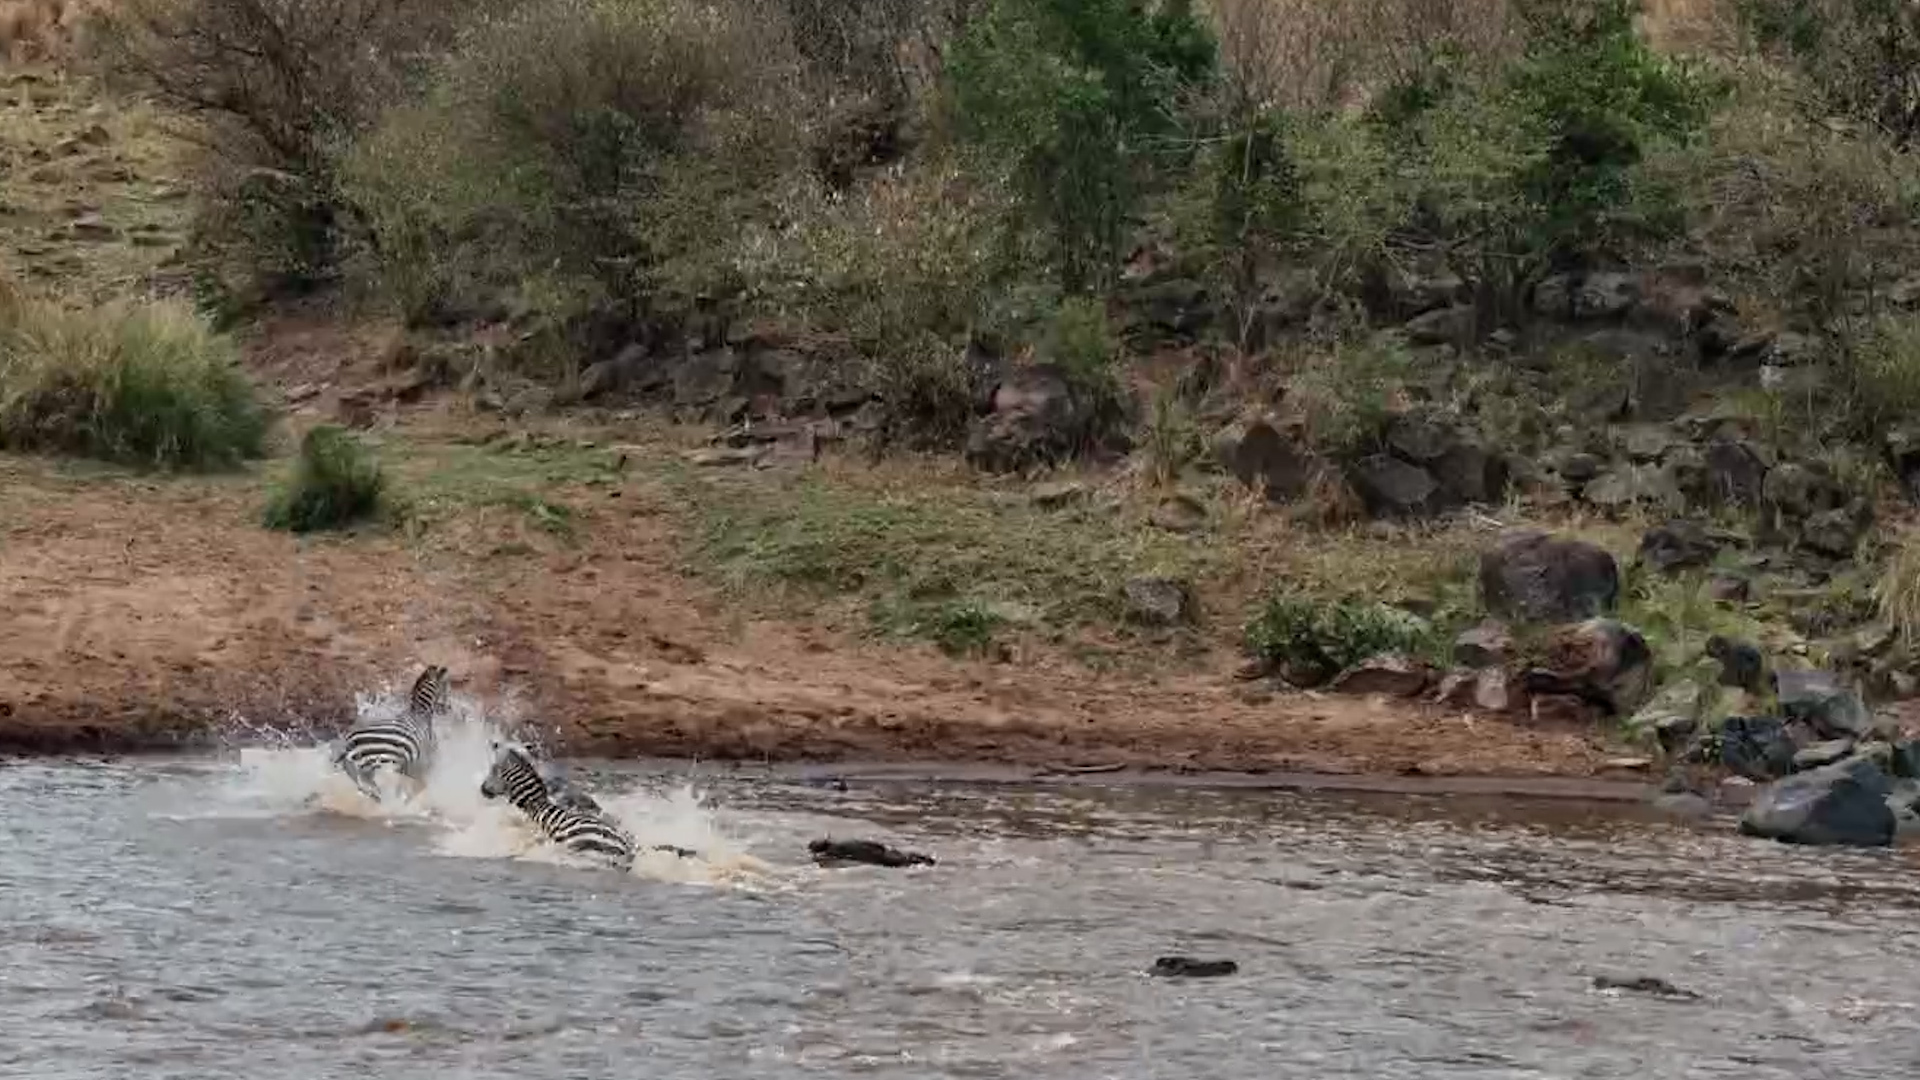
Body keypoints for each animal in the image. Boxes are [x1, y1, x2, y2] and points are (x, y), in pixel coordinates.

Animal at [331, 664, 450, 802]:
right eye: (446, 686)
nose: (447, 707)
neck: (420, 712)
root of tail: (349, 744)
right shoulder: (424, 756)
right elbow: (421, 781)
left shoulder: (409, 764)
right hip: (383, 766)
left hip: (365, 772)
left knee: (370, 791)